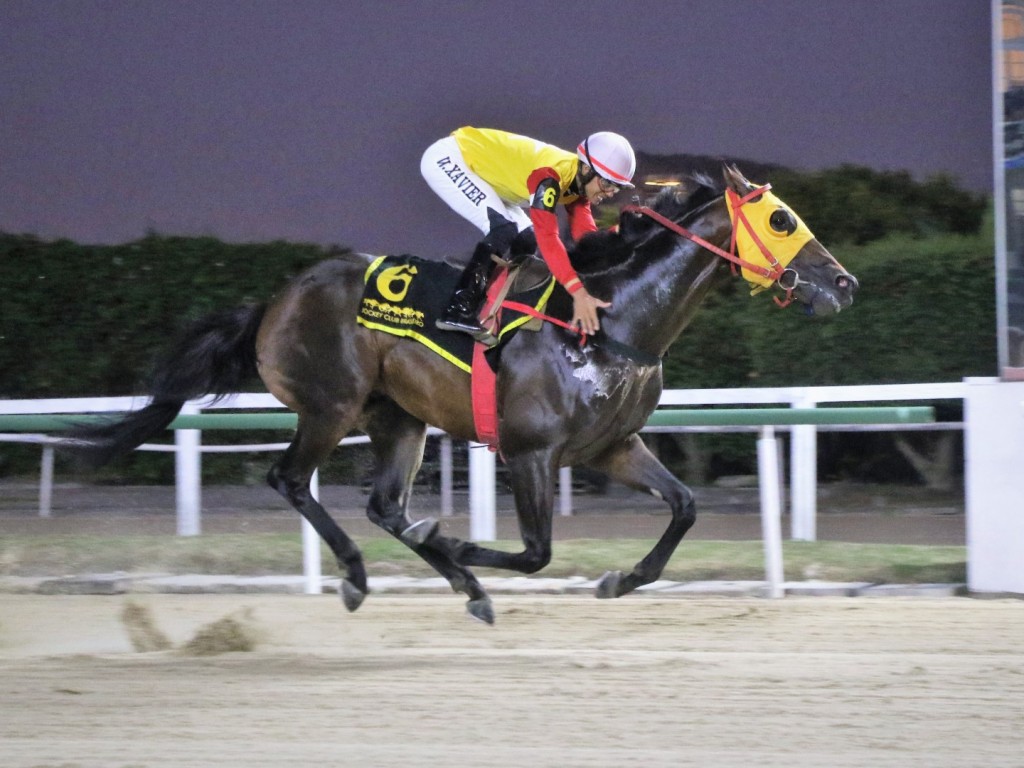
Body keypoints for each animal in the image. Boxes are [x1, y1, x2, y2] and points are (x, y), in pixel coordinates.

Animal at [68, 163, 860, 626]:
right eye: (782, 219)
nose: (845, 283)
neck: (614, 318)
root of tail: (275, 301)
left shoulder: (611, 446)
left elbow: (686, 507)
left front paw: (620, 580)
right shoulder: (529, 450)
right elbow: (536, 553)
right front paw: (454, 541)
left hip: (398, 418)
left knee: (384, 506)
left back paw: (458, 584)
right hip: (331, 406)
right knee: (290, 479)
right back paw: (364, 574)